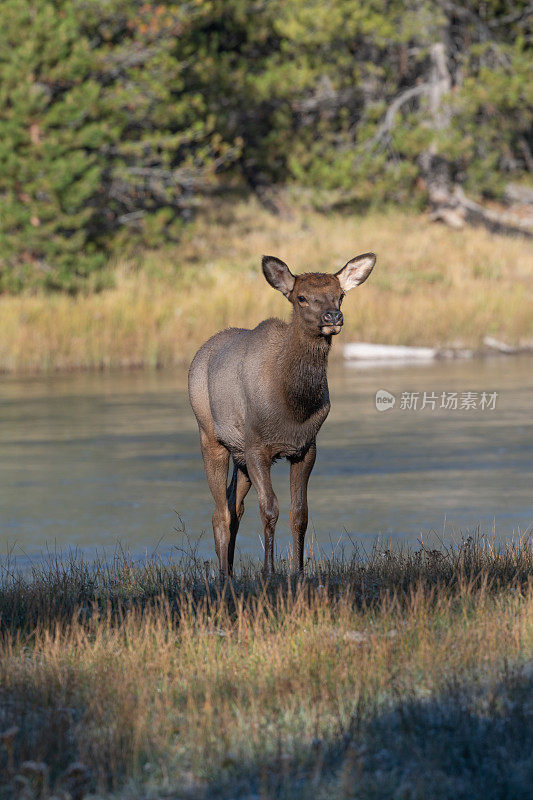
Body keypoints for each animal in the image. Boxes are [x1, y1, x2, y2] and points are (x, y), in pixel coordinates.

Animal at [187, 253, 374, 572]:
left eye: (340, 295)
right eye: (301, 297)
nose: (333, 317)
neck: (293, 407)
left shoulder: (305, 448)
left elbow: (300, 513)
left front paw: (298, 570)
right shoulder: (257, 447)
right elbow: (269, 508)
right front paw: (269, 570)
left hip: (239, 456)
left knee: (233, 506)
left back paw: (231, 572)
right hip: (211, 437)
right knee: (220, 512)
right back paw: (223, 575)